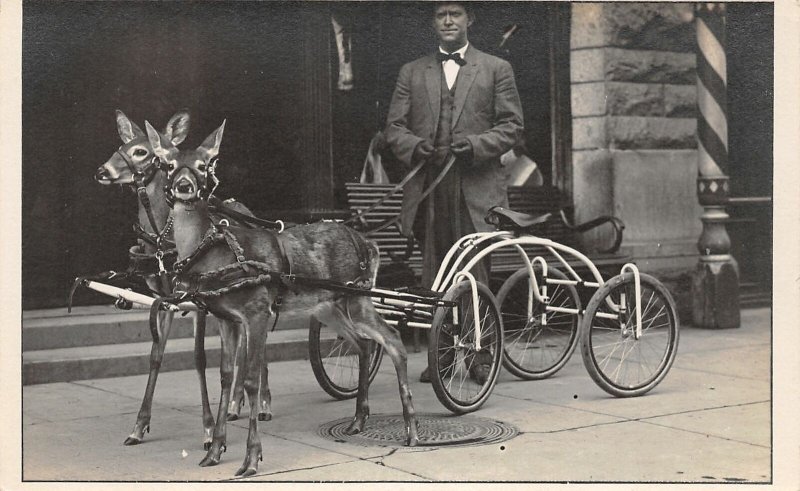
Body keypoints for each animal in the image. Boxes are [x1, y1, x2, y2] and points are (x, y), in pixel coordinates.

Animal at [94, 109, 272, 452]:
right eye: (120, 146)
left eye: (141, 152)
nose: (101, 171)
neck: (164, 240)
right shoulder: (163, 301)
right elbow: (155, 356)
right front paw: (139, 426)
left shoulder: (197, 302)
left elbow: (199, 357)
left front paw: (207, 431)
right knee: (242, 343)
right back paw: (235, 405)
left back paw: (263, 405)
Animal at [145, 119, 418, 476]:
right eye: (169, 164)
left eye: (205, 164)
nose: (184, 185)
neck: (215, 254)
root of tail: (369, 245)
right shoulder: (225, 317)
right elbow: (225, 376)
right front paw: (214, 451)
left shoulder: (257, 310)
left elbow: (250, 380)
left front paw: (251, 459)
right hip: (330, 306)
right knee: (365, 344)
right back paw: (359, 420)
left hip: (357, 296)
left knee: (393, 338)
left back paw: (411, 429)